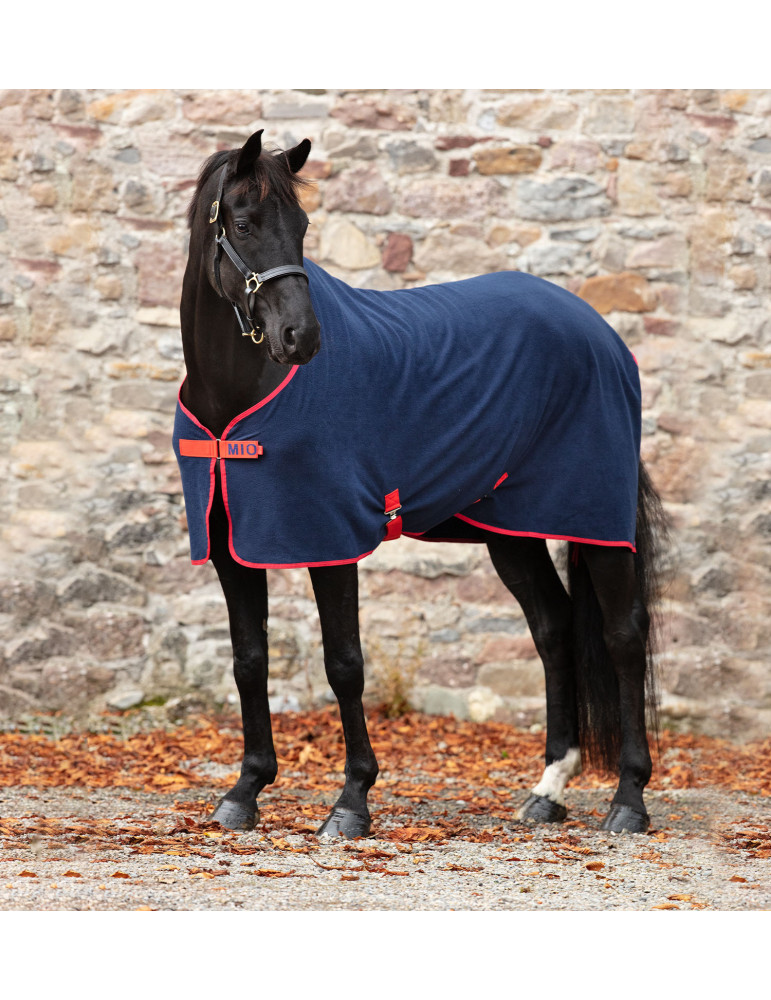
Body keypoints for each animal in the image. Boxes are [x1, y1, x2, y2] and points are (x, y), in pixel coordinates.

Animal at [174, 129, 667, 839]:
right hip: (511, 531)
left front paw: (351, 801)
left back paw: (628, 800)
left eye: (302, 226)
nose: (302, 337)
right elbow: (248, 660)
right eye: (243, 223)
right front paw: (246, 789)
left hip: (595, 520)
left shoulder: (330, 539)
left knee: (623, 635)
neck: (236, 399)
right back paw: (548, 788)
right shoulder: (229, 545)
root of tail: (601, 333)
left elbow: (344, 664)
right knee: (553, 628)